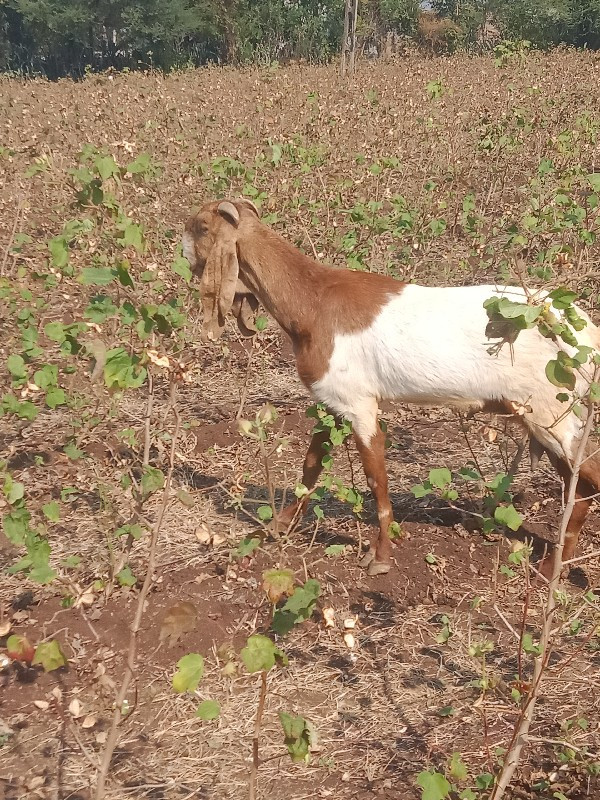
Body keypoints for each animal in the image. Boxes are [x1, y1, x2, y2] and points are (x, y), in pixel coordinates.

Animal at [184, 197, 600, 580]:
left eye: (202, 227)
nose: (183, 252)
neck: (313, 301)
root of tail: (583, 333)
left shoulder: (360, 405)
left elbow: (376, 480)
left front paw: (380, 555)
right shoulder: (332, 401)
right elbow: (311, 464)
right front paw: (279, 525)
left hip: (550, 412)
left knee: (585, 478)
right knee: (577, 485)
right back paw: (555, 563)